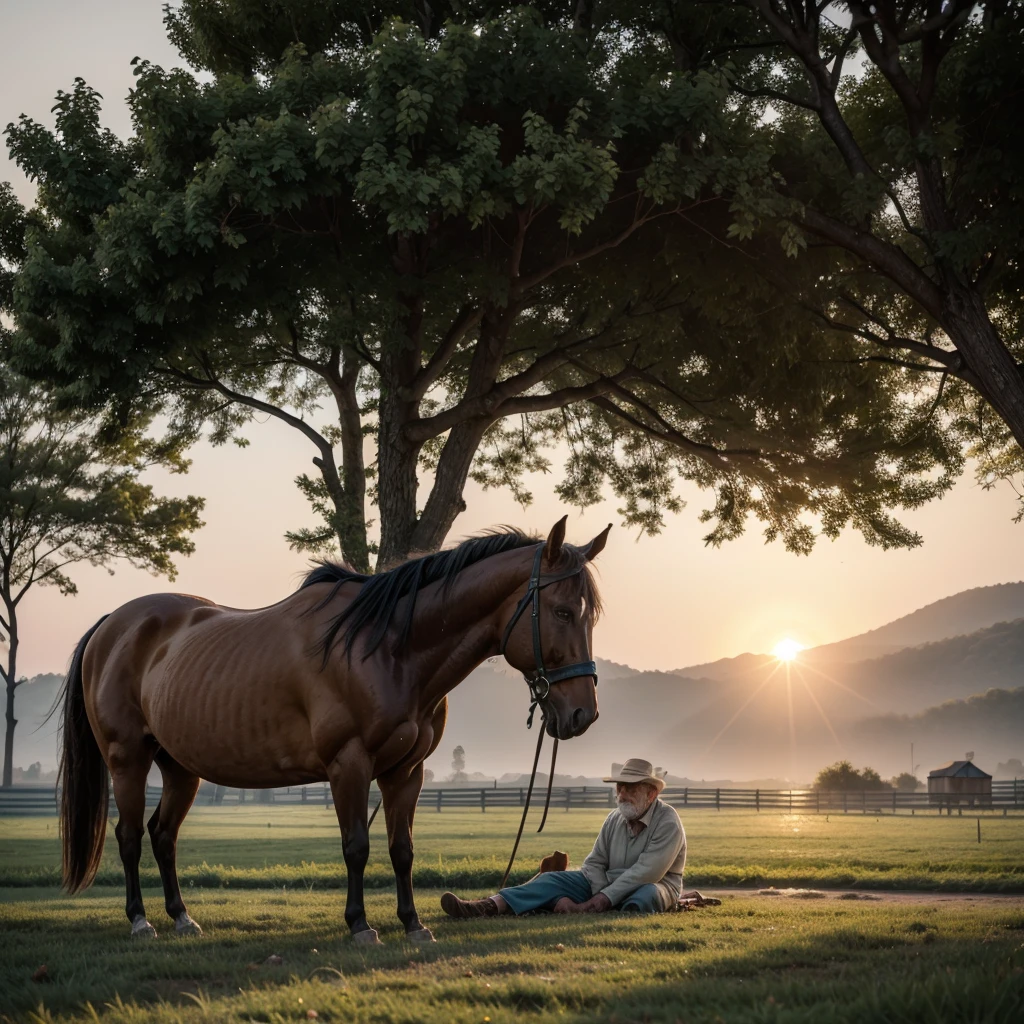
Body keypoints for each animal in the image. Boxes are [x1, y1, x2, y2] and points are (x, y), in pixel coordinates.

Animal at [54, 520, 606, 942]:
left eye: (591, 616)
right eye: (561, 611)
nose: (583, 714)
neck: (386, 647)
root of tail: (114, 624)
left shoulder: (406, 772)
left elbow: (401, 850)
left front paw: (413, 924)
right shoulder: (349, 763)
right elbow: (356, 846)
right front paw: (360, 926)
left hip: (180, 768)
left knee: (163, 835)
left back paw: (182, 919)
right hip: (128, 759)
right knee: (128, 836)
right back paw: (140, 922)